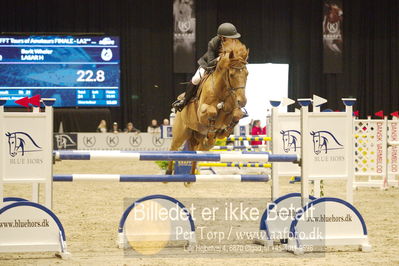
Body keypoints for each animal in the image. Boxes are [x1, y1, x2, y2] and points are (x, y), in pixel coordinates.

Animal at [166, 39, 248, 175]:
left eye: (247, 74)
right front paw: (212, 125)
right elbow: (212, 111)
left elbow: (237, 114)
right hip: (180, 133)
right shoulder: (201, 112)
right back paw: (168, 173)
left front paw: (224, 130)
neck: (222, 92)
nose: (242, 101)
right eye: (231, 75)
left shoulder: (233, 111)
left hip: (198, 137)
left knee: (199, 150)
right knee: (173, 148)